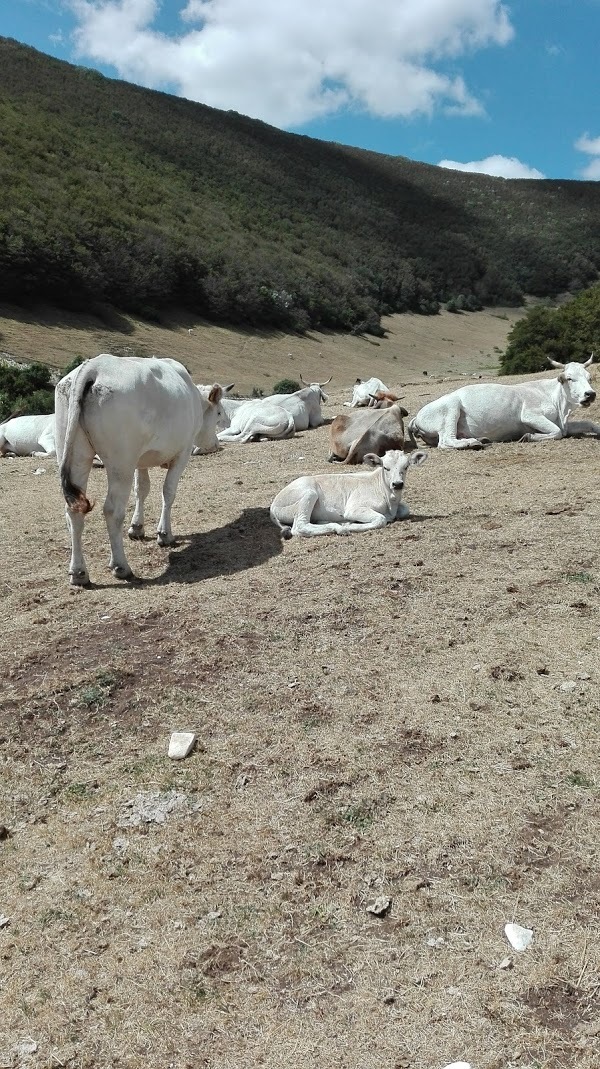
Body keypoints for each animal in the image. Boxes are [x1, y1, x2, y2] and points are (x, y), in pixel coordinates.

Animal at [271, 448, 425, 538]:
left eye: (406, 467)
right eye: (385, 467)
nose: (397, 484)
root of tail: (273, 506)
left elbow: (405, 509)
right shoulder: (354, 509)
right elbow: (381, 520)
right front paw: (351, 526)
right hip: (308, 494)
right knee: (300, 527)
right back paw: (340, 528)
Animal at [406, 354, 598, 446]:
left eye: (589, 377)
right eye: (570, 378)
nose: (590, 394)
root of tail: (417, 416)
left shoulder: (563, 422)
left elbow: (590, 424)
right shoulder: (530, 415)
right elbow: (557, 432)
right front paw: (528, 436)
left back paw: (481, 439)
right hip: (451, 409)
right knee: (446, 441)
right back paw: (472, 443)